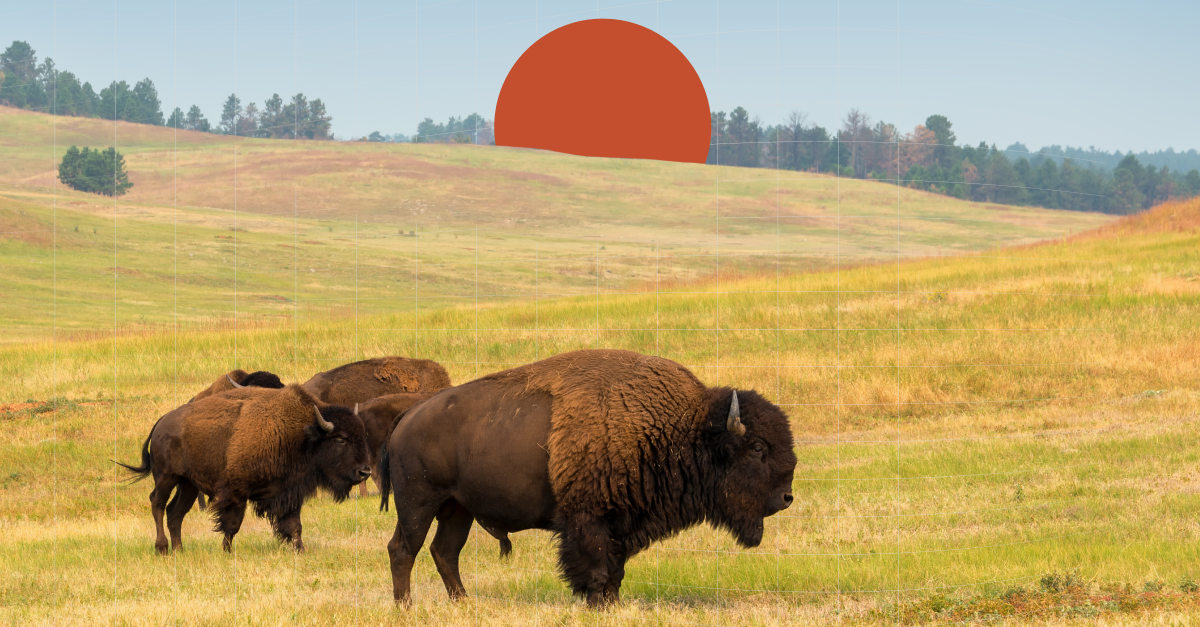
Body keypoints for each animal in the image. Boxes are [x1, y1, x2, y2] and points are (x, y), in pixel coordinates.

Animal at [117, 379, 372, 552]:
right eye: (340, 439)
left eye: (362, 435)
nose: (365, 471)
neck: (303, 434)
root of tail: (161, 423)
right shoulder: (236, 492)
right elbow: (232, 525)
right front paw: (227, 551)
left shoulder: (289, 493)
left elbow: (294, 525)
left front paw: (300, 550)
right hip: (166, 477)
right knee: (157, 504)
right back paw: (162, 548)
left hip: (188, 484)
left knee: (175, 513)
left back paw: (179, 550)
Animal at [379, 345, 796, 605]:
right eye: (758, 448)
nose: (786, 497)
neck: (680, 427)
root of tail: (408, 417)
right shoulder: (588, 519)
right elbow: (596, 568)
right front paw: (599, 604)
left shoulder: (621, 523)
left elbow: (615, 570)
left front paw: (612, 603)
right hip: (418, 503)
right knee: (403, 549)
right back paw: (406, 607)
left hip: (457, 509)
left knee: (444, 551)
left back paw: (464, 603)